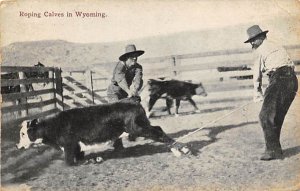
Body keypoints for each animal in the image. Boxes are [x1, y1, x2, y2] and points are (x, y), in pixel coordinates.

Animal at [17, 100, 183, 166]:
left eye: (23, 133)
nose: (18, 146)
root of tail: (133, 101)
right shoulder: (77, 146)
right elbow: (78, 158)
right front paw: (93, 159)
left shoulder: (69, 145)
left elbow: (70, 162)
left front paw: (94, 160)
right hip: (141, 126)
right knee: (159, 129)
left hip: (138, 128)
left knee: (159, 133)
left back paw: (180, 149)